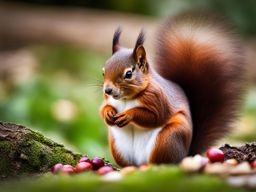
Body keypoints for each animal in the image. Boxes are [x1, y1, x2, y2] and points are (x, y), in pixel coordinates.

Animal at [99, 13, 245, 166]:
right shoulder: (108, 100)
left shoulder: (158, 98)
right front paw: (108, 113)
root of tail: (186, 155)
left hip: (168, 139)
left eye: (128, 74)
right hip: (118, 146)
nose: (107, 90)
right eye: (103, 72)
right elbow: (103, 108)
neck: (127, 99)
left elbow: (155, 117)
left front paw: (128, 114)